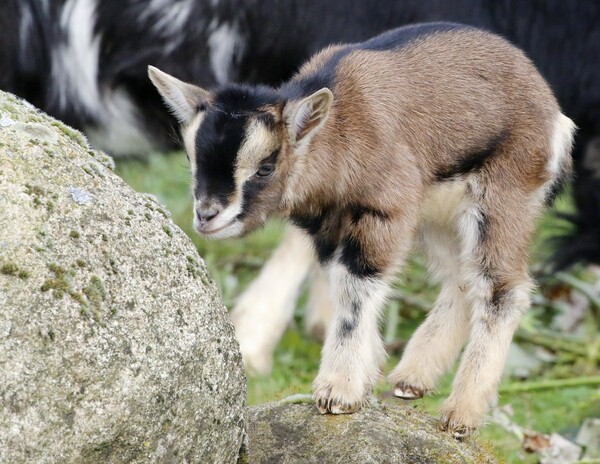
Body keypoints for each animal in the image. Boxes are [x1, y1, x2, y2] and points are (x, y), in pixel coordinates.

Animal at [148, 23, 576, 436]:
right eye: (193, 158)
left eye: (266, 167)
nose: (207, 215)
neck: (338, 132)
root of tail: (556, 116)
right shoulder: (330, 229)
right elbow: (343, 288)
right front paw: (362, 379)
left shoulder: (384, 211)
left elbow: (355, 291)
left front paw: (337, 391)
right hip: (436, 216)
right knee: (461, 279)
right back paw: (410, 381)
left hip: (503, 197)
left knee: (501, 288)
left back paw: (460, 415)